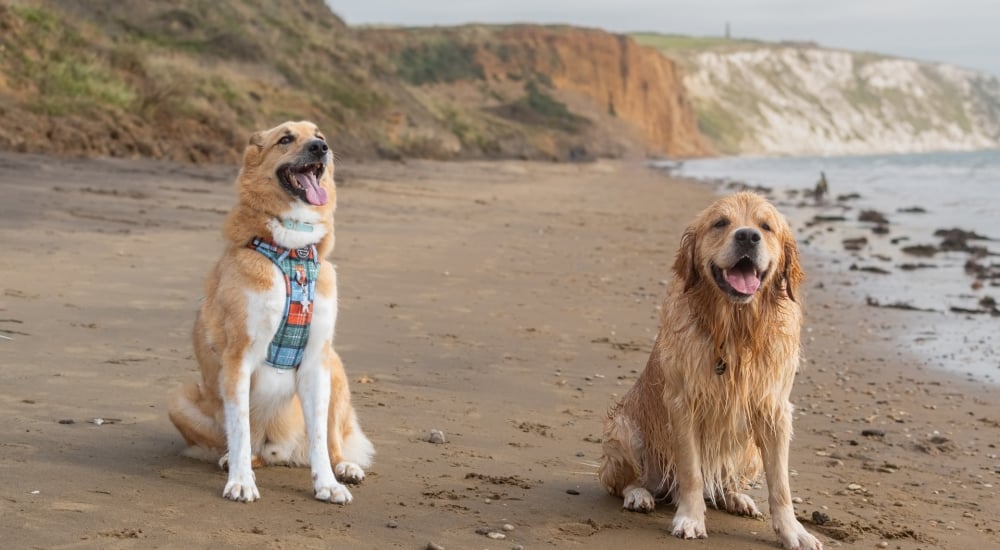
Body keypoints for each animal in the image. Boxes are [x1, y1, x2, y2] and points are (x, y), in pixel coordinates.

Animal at [170, 119, 374, 504]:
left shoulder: (315, 361)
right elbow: (239, 429)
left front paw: (327, 484)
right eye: (285, 139)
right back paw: (237, 462)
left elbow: (321, 439)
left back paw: (344, 467)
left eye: (320, 136)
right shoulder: (238, 358)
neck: (292, 250)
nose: (320, 149)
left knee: (331, 439)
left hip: (335, 369)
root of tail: (281, 449)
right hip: (180, 397)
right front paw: (240, 481)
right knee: (245, 445)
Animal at [600, 194, 820, 550]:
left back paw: (737, 498)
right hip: (624, 430)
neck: (735, 330)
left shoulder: (774, 409)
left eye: (766, 226)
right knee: (625, 482)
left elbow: (781, 486)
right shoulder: (684, 404)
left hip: (750, 451)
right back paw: (639, 495)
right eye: (720, 223)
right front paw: (690, 519)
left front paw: (794, 531)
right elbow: (691, 472)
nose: (747, 237)